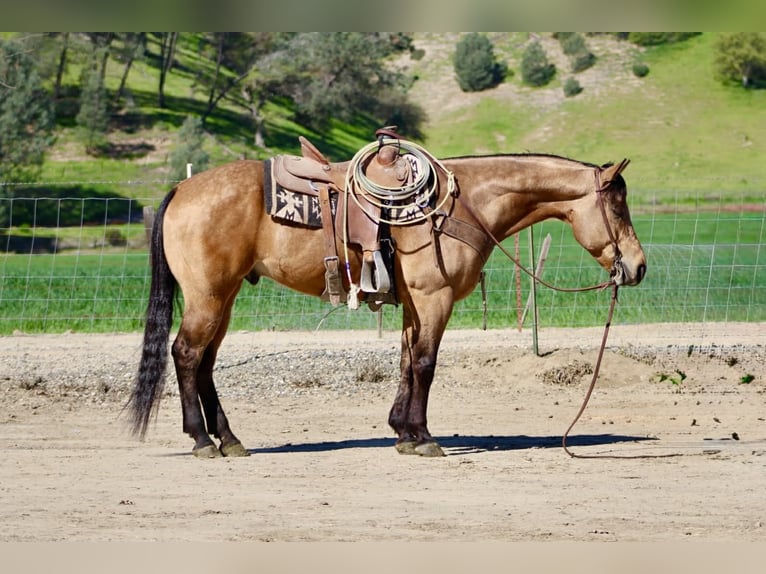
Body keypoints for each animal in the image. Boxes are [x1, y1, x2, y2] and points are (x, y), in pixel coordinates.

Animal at [128, 140, 646, 459]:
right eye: (618, 205)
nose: (638, 267)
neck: (461, 204)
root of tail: (181, 188)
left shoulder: (415, 303)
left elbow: (405, 361)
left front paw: (402, 431)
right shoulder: (435, 298)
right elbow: (426, 364)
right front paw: (424, 437)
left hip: (225, 296)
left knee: (206, 363)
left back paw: (229, 439)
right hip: (208, 296)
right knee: (187, 354)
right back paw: (202, 440)